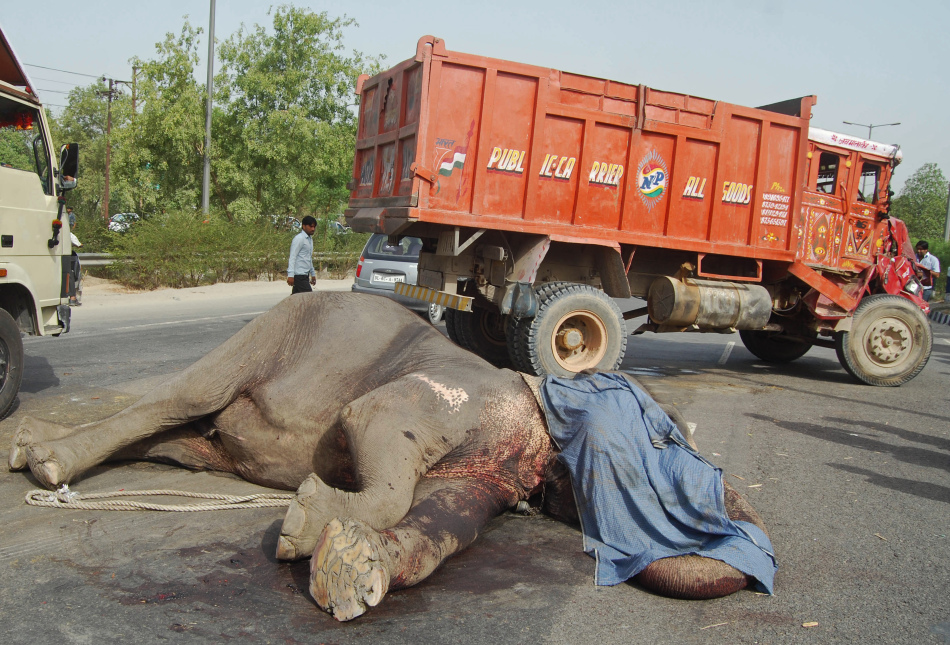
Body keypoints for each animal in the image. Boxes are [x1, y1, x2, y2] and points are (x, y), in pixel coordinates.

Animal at [11, 290, 776, 620]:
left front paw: (350, 567)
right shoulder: (467, 392)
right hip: (271, 329)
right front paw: (304, 522)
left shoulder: (493, 467)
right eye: (668, 437)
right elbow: (378, 427)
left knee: (184, 437)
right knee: (179, 395)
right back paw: (41, 461)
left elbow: (446, 521)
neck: (538, 402)